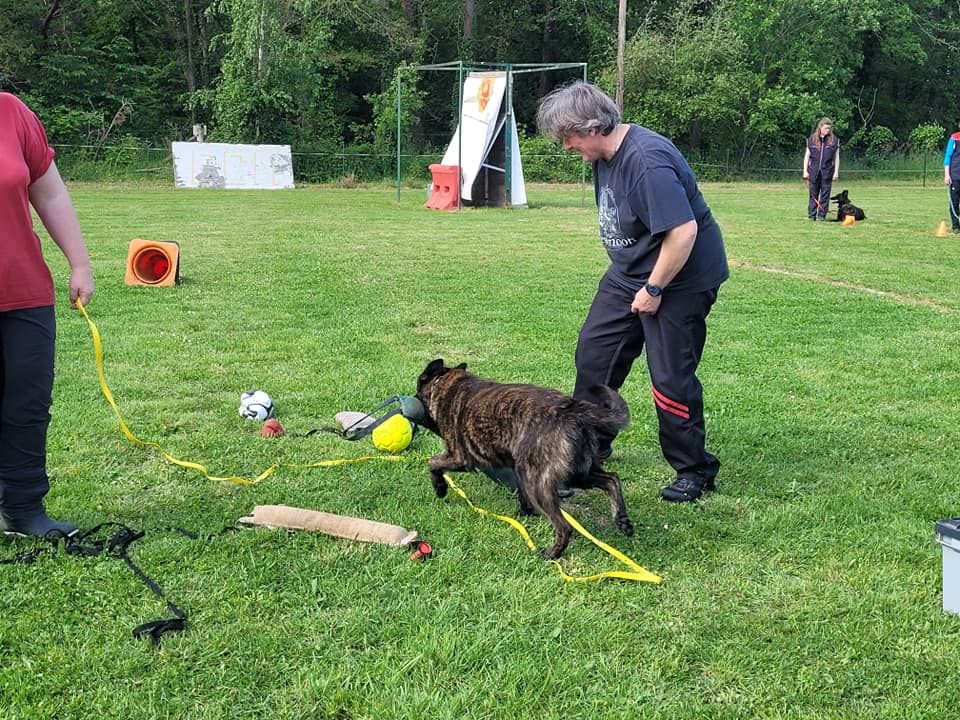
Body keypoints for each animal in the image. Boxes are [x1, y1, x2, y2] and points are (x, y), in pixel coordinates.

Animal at [416, 358, 632, 556]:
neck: (447, 384)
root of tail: (572, 411)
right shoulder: (518, 471)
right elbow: (522, 495)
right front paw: (524, 514)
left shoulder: (459, 457)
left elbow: (432, 463)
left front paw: (440, 488)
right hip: (576, 474)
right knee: (612, 479)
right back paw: (622, 520)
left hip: (539, 485)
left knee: (564, 527)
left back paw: (551, 554)